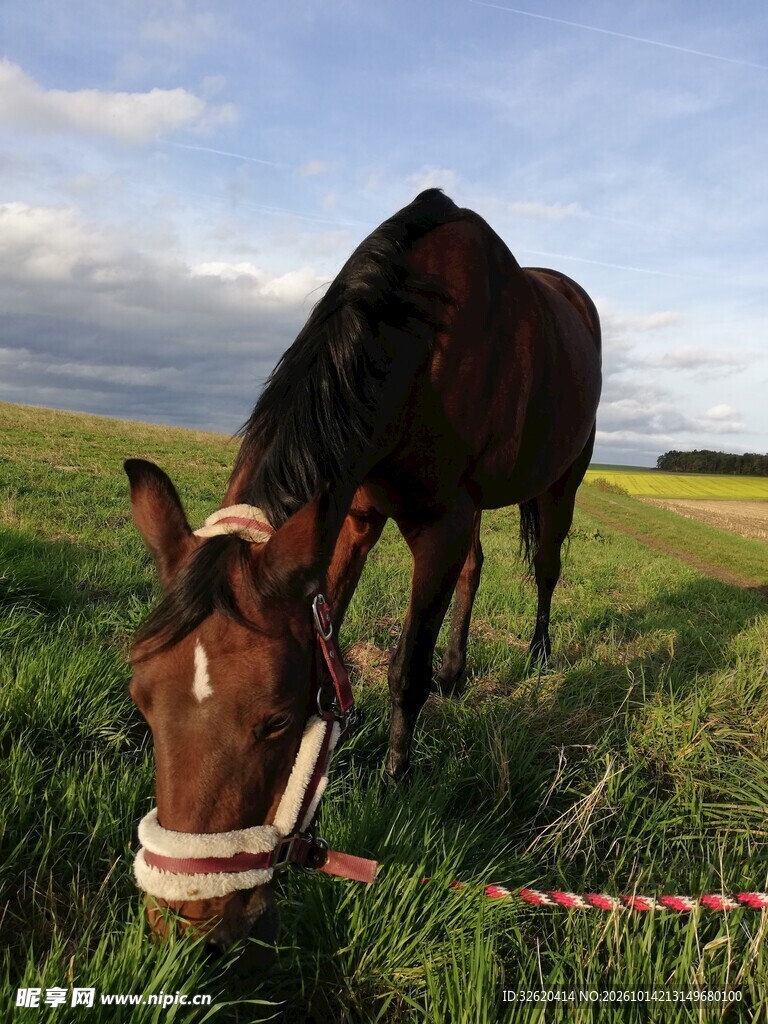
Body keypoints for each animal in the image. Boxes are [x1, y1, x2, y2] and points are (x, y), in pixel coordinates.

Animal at [124, 189, 602, 949]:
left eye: (277, 721)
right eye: (142, 702)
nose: (191, 923)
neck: (422, 346)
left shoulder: (439, 523)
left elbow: (407, 669)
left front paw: (396, 781)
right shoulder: (350, 517)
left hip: (562, 484)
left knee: (547, 568)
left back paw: (537, 651)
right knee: (477, 569)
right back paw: (459, 672)